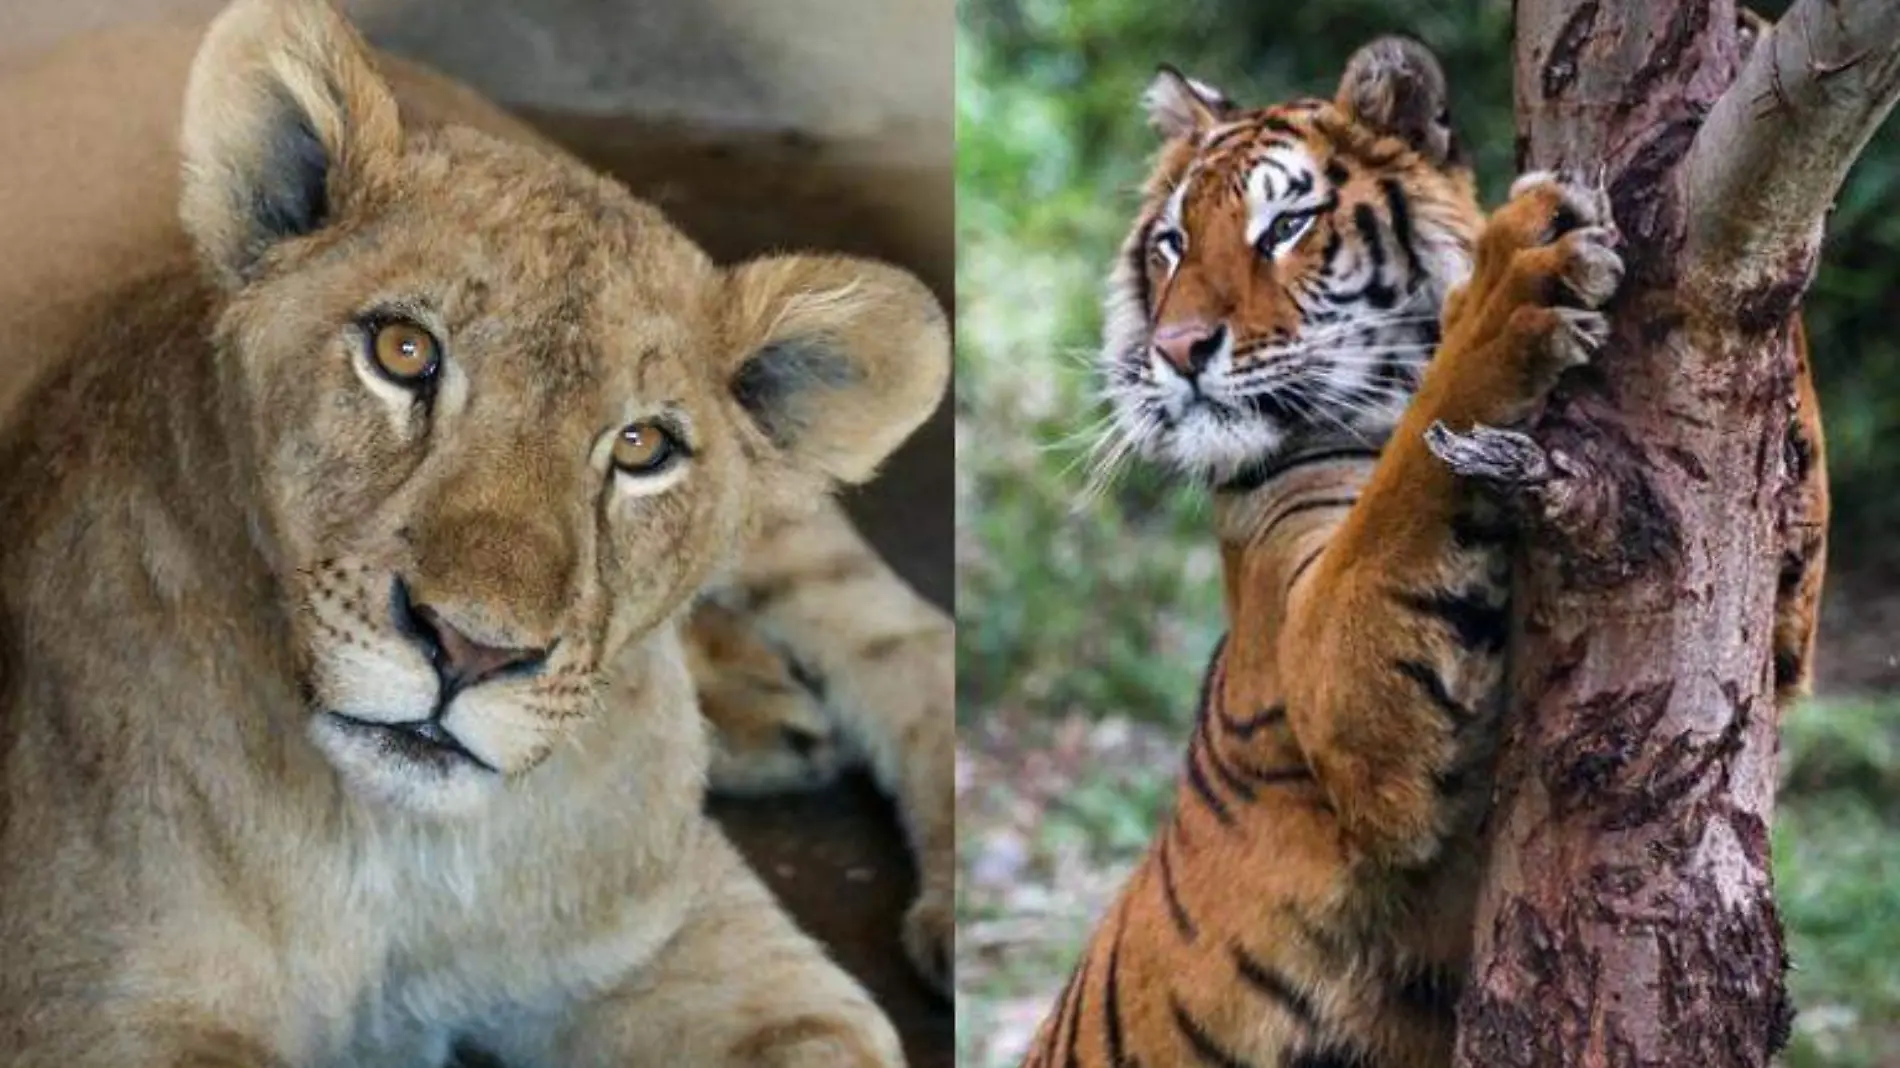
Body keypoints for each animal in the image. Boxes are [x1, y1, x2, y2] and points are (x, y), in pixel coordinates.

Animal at [0, 0, 950, 1056]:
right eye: (403, 352)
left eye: (642, 446)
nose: (469, 650)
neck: (404, 854)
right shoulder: (101, 1001)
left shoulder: (699, 946)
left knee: (906, 634)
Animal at [1018, 33, 1831, 1064]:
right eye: (1171, 244)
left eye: (1285, 226)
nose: (1178, 349)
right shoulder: (1333, 671)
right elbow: (1414, 465)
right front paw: (1511, 279)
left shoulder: (1778, 633)